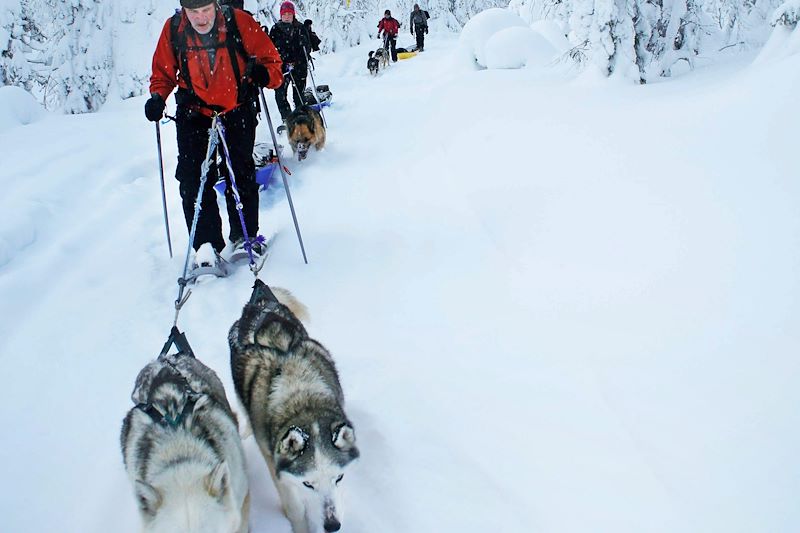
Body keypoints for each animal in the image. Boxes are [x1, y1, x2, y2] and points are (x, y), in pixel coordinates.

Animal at [228, 278, 360, 532]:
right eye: (308, 484)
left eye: (338, 478)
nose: (332, 525)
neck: (303, 397)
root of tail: (260, 303)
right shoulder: (277, 468)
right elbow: (295, 507)